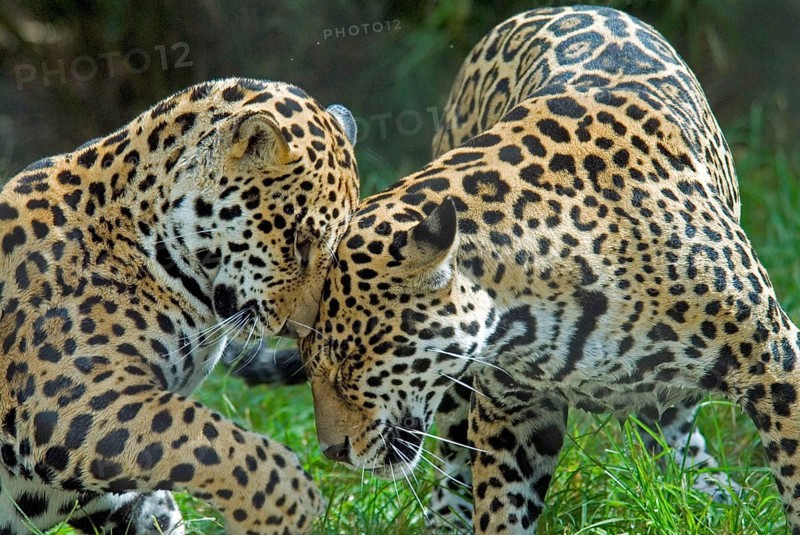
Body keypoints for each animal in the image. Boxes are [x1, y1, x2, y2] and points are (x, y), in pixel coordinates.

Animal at [0, 77, 359, 535]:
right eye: (299, 240)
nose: (302, 329)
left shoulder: (118, 493)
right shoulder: (65, 397)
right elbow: (208, 437)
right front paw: (289, 500)